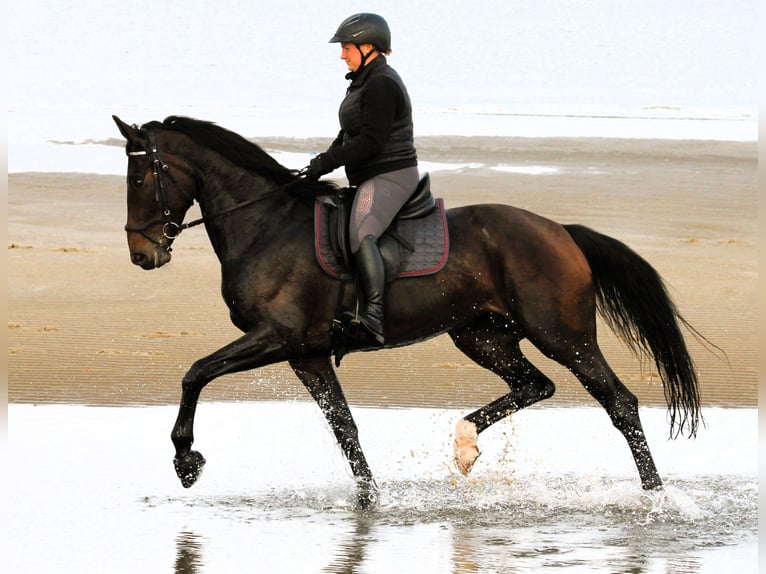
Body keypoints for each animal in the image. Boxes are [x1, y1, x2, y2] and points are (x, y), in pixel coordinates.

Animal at [111, 116, 704, 508]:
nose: (142, 255)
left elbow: (195, 373)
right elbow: (344, 425)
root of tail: (561, 230)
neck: (265, 226)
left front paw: (186, 461)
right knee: (535, 385)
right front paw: (369, 500)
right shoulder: (307, 355)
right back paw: (465, 445)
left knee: (618, 403)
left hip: (562, 335)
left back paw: (656, 497)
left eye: (138, 180)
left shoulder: (277, 338)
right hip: (482, 336)